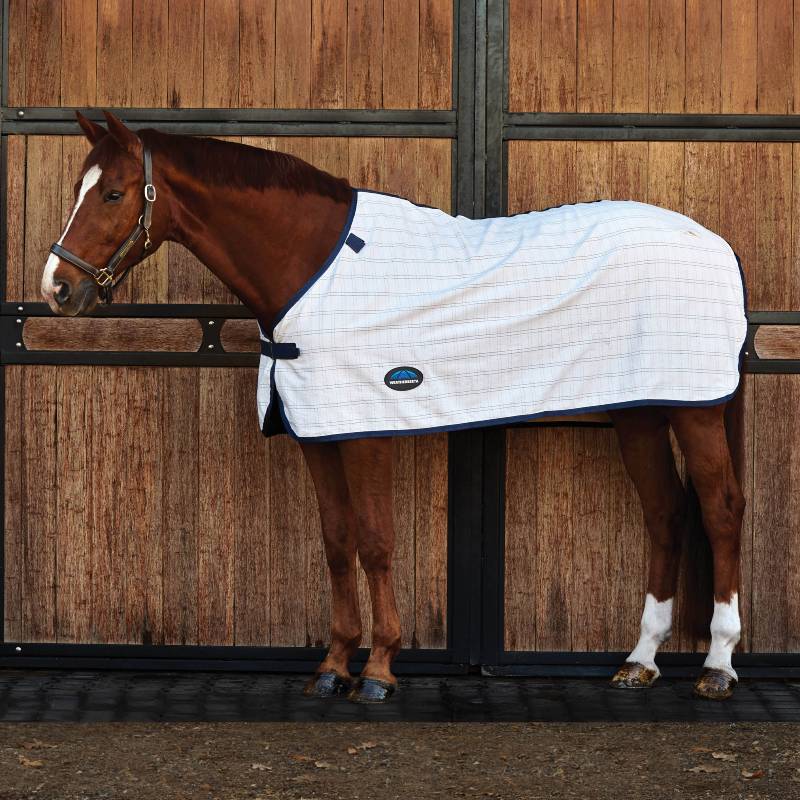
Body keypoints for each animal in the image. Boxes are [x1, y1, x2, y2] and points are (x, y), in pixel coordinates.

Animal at [41, 111, 746, 703]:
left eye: (113, 194)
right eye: (78, 186)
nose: (57, 288)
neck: (313, 266)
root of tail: (715, 242)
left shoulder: (366, 427)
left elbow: (376, 541)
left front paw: (379, 670)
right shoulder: (319, 431)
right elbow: (336, 542)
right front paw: (333, 666)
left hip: (694, 409)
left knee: (719, 509)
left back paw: (717, 664)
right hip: (641, 410)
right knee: (665, 512)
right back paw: (641, 660)